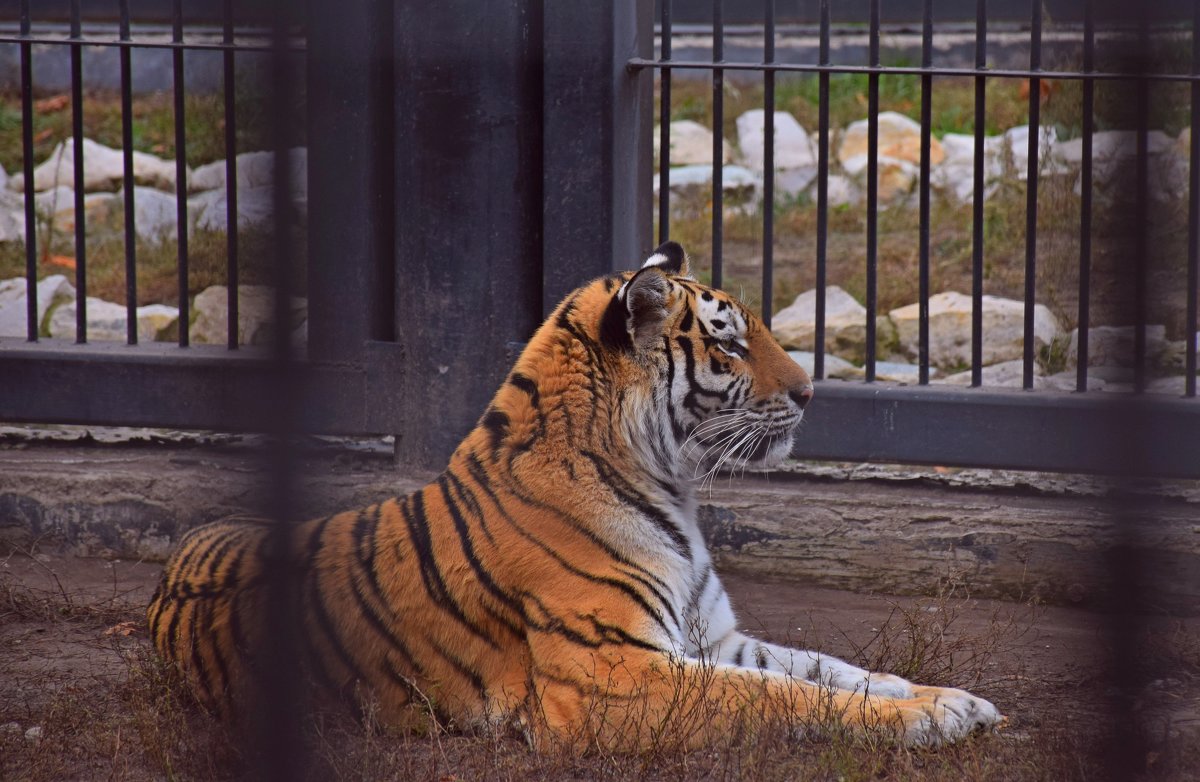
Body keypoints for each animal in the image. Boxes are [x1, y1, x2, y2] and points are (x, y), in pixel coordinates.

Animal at [147, 242, 1003, 753]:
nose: (810, 392)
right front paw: (925, 717)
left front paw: (948, 698)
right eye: (728, 341)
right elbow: (784, 696)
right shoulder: (609, 677)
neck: (672, 492)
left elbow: (830, 667)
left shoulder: (714, 637)